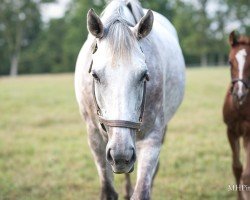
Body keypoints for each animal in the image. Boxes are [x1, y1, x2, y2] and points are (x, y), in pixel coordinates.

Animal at [74, 0, 186, 198]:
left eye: (144, 75)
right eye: (95, 75)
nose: (121, 156)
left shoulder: (152, 138)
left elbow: (141, 191)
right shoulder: (95, 138)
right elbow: (108, 191)